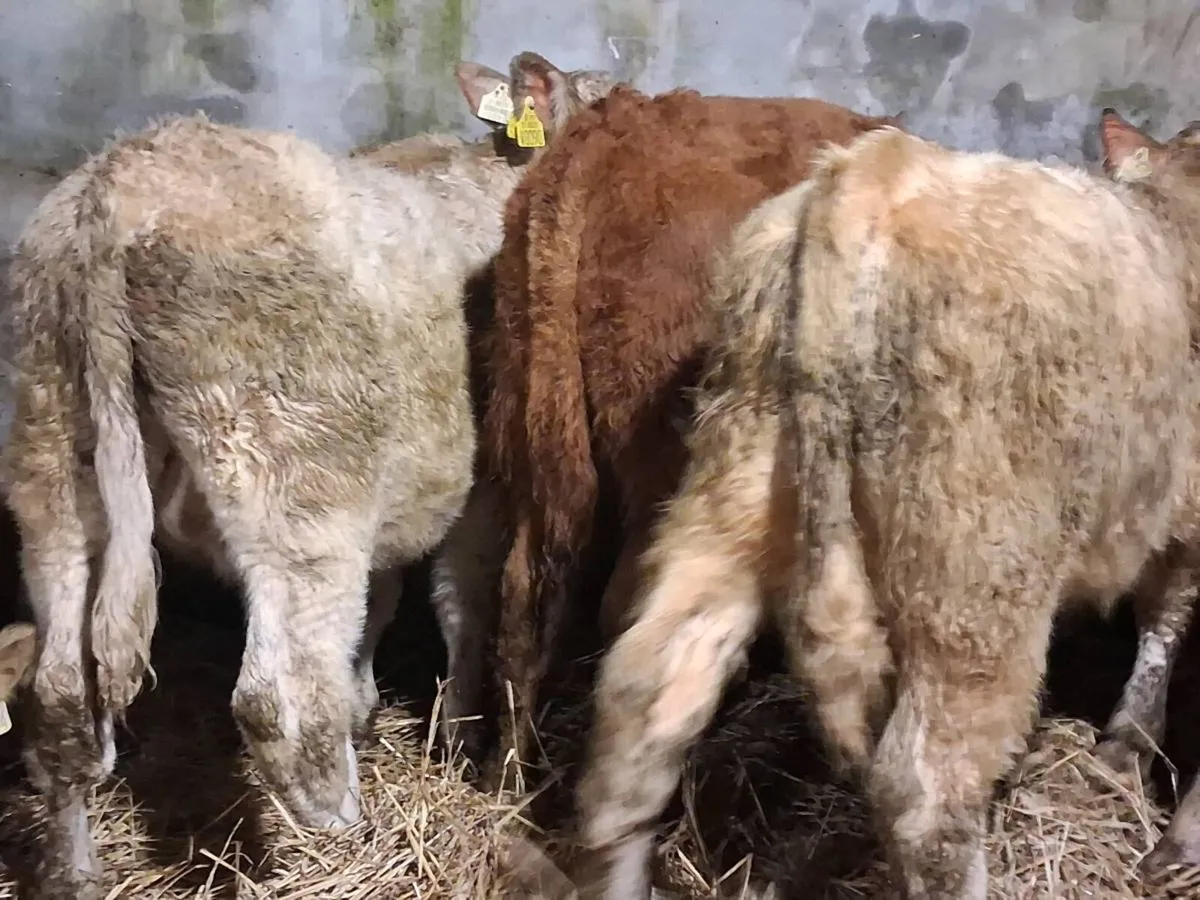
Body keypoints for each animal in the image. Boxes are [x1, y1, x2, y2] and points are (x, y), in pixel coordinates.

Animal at [0, 52, 614, 900]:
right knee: (278, 703)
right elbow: (461, 606)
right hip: (295, 485)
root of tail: (119, 185)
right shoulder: (482, 489)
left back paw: (75, 873)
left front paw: (373, 706)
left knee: (61, 694)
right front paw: (456, 739)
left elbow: (382, 605)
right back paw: (343, 839)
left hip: (54, 453)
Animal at [464, 80, 899, 786]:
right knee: (637, 609)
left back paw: (508, 771)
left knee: (526, 592)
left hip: (531, 420)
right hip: (663, 460)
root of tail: (614, 129)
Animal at [570, 111, 1200, 900]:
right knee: (927, 792)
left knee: (646, 695)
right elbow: (1167, 617)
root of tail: (871, 176)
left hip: (737, 474)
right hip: (977, 563)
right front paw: (1128, 749)